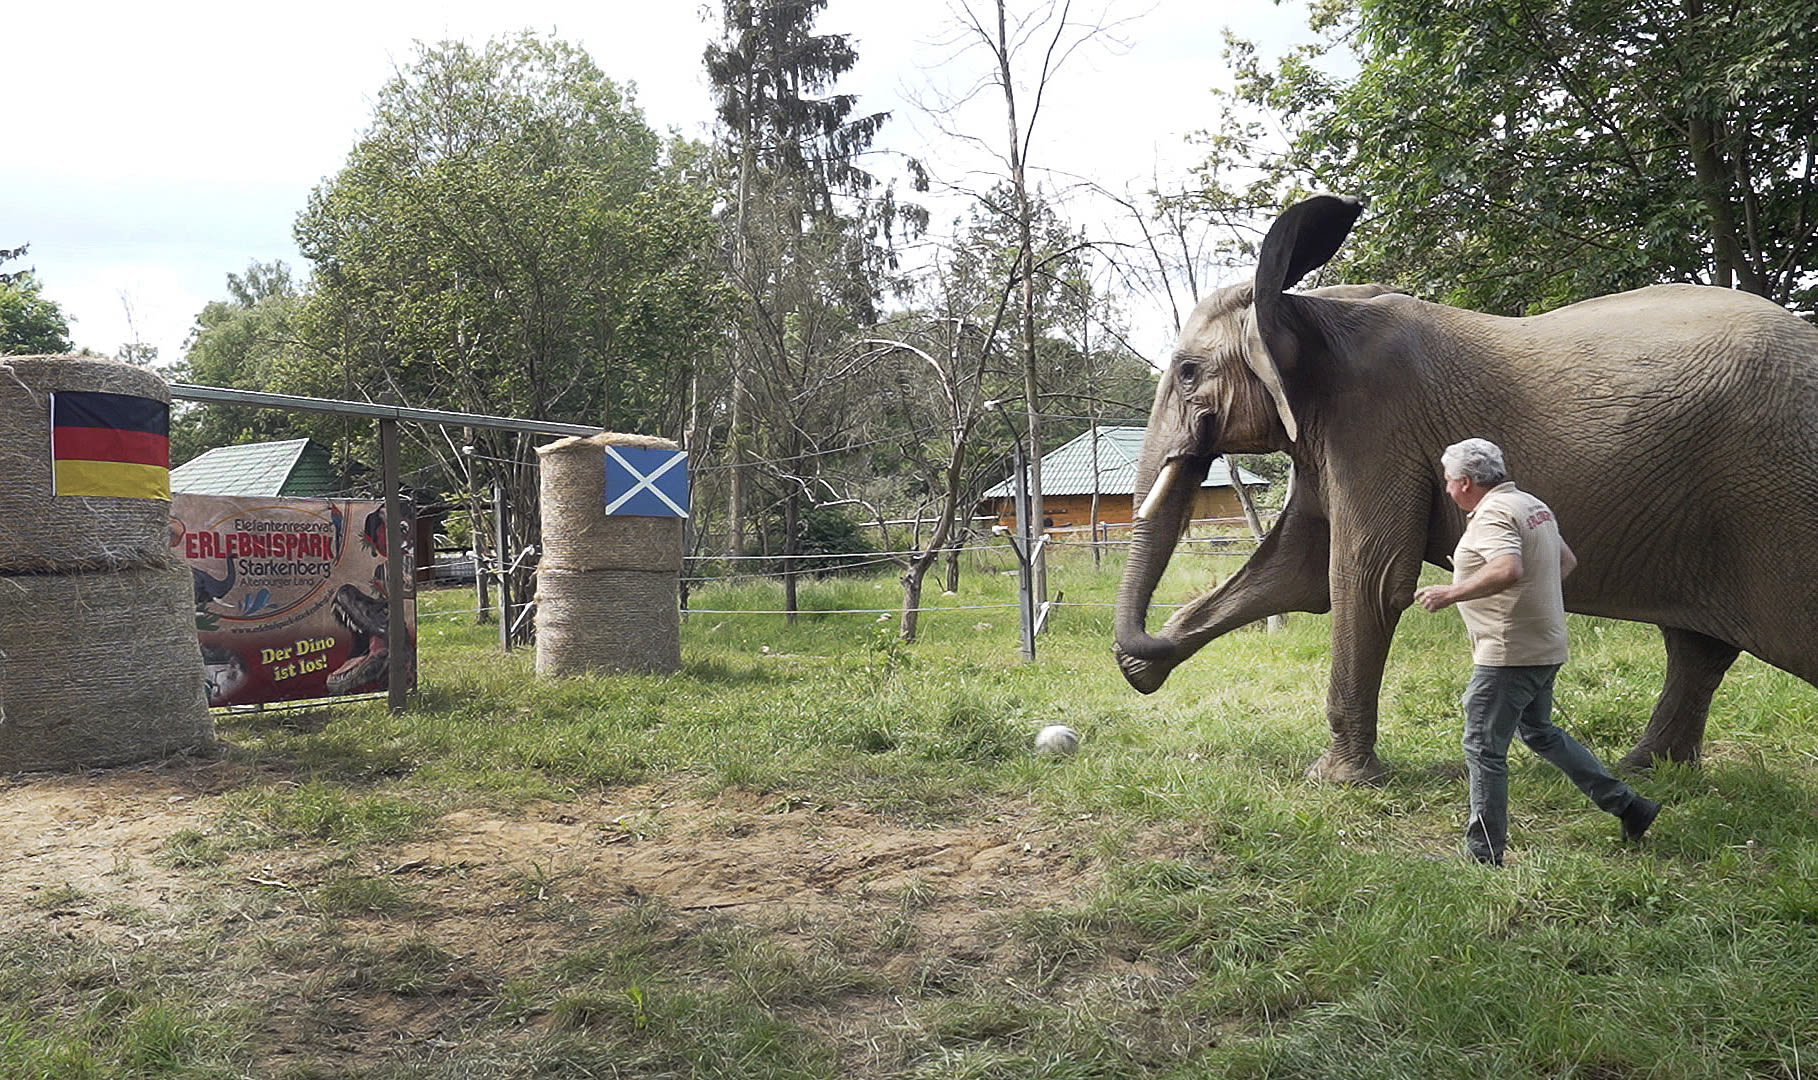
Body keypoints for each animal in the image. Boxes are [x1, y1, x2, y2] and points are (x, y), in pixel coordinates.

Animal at [1112, 193, 1818, 781]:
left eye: (1187, 372)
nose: (1144, 647)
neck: (1308, 305)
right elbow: (1299, 571)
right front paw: (1149, 661)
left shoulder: (1376, 426)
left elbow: (1364, 577)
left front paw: (1335, 782)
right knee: (1697, 650)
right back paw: (1647, 771)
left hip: (1778, 496)